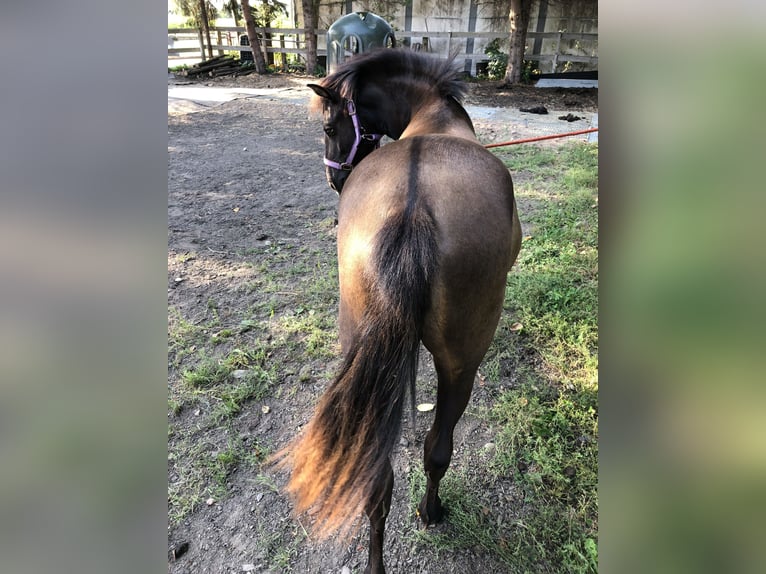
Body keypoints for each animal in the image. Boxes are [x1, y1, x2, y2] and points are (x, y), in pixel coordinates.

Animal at [280, 50, 524, 574]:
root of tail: (412, 208)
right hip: (462, 363)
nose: (334, 178)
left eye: (330, 126)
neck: (433, 115)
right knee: (438, 449)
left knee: (378, 482)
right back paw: (432, 511)